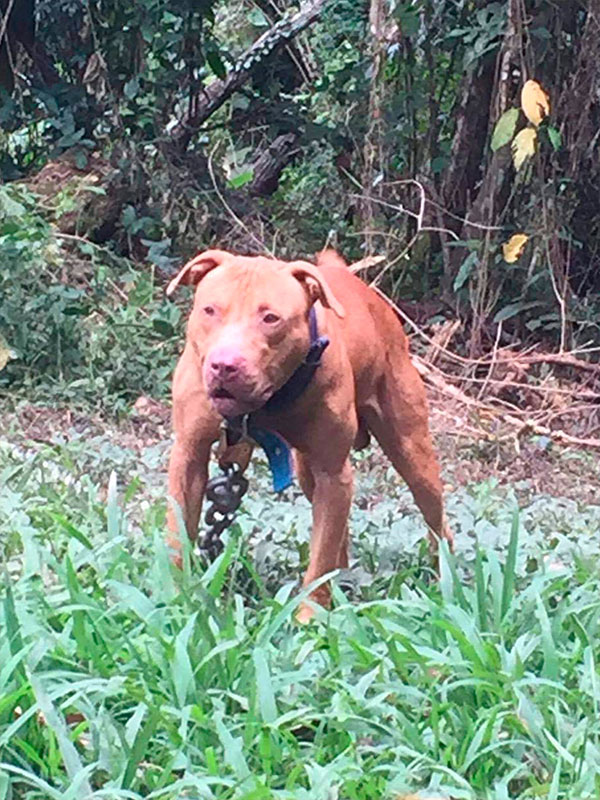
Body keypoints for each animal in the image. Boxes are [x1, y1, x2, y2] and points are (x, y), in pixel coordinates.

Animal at [164, 247, 450, 620]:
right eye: (209, 310)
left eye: (271, 318)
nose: (225, 365)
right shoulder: (188, 457)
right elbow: (177, 534)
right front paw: (176, 599)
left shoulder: (333, 473)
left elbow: (319, 560)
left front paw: (308, 619)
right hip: (307, 473)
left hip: (410, 450)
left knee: (434, 516)